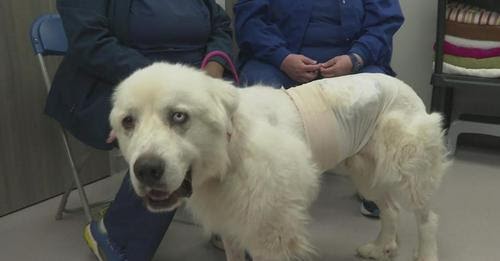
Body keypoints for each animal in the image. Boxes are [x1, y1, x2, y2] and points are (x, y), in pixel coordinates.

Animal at [110, 62, 450, 260]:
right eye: (128, 122)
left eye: (178, 116)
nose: (147, 169)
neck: (231, 152)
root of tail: (400, 84)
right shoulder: (232, 225)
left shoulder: (271, 235)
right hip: (367, 173)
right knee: (391, 210)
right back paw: (381, 247)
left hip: (409, 171)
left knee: (428, 219)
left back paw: (425, 254)